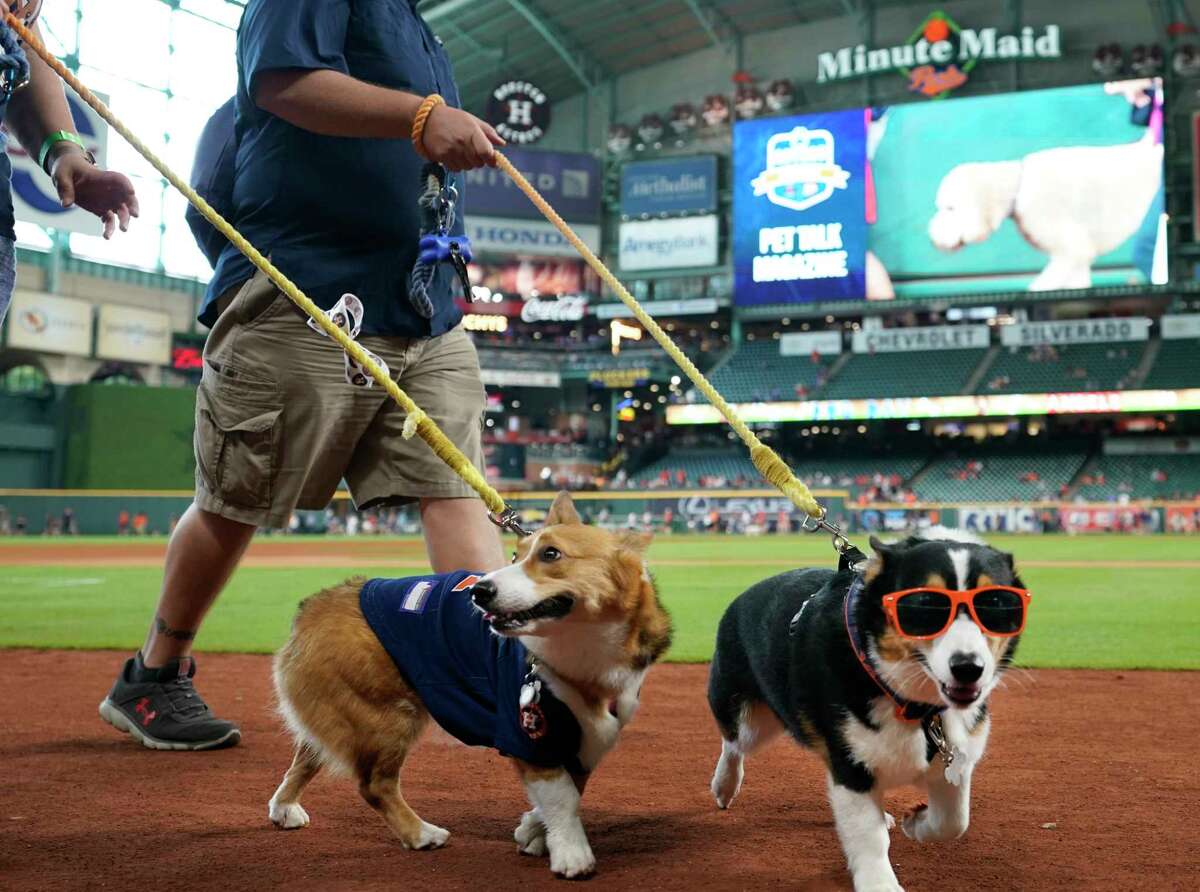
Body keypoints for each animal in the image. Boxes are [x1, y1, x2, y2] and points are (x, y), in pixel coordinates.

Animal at [705, 533, 1027, 888]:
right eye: (923, 604)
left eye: (997, 603)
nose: (968, 668)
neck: (910, 704)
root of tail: (744, 594)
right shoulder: (851, 765)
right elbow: (867, 834)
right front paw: (879, 883)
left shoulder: (956, 757)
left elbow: (954, 821)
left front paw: (916, 823)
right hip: (751, 722)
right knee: (733, 744)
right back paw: (724, 786)